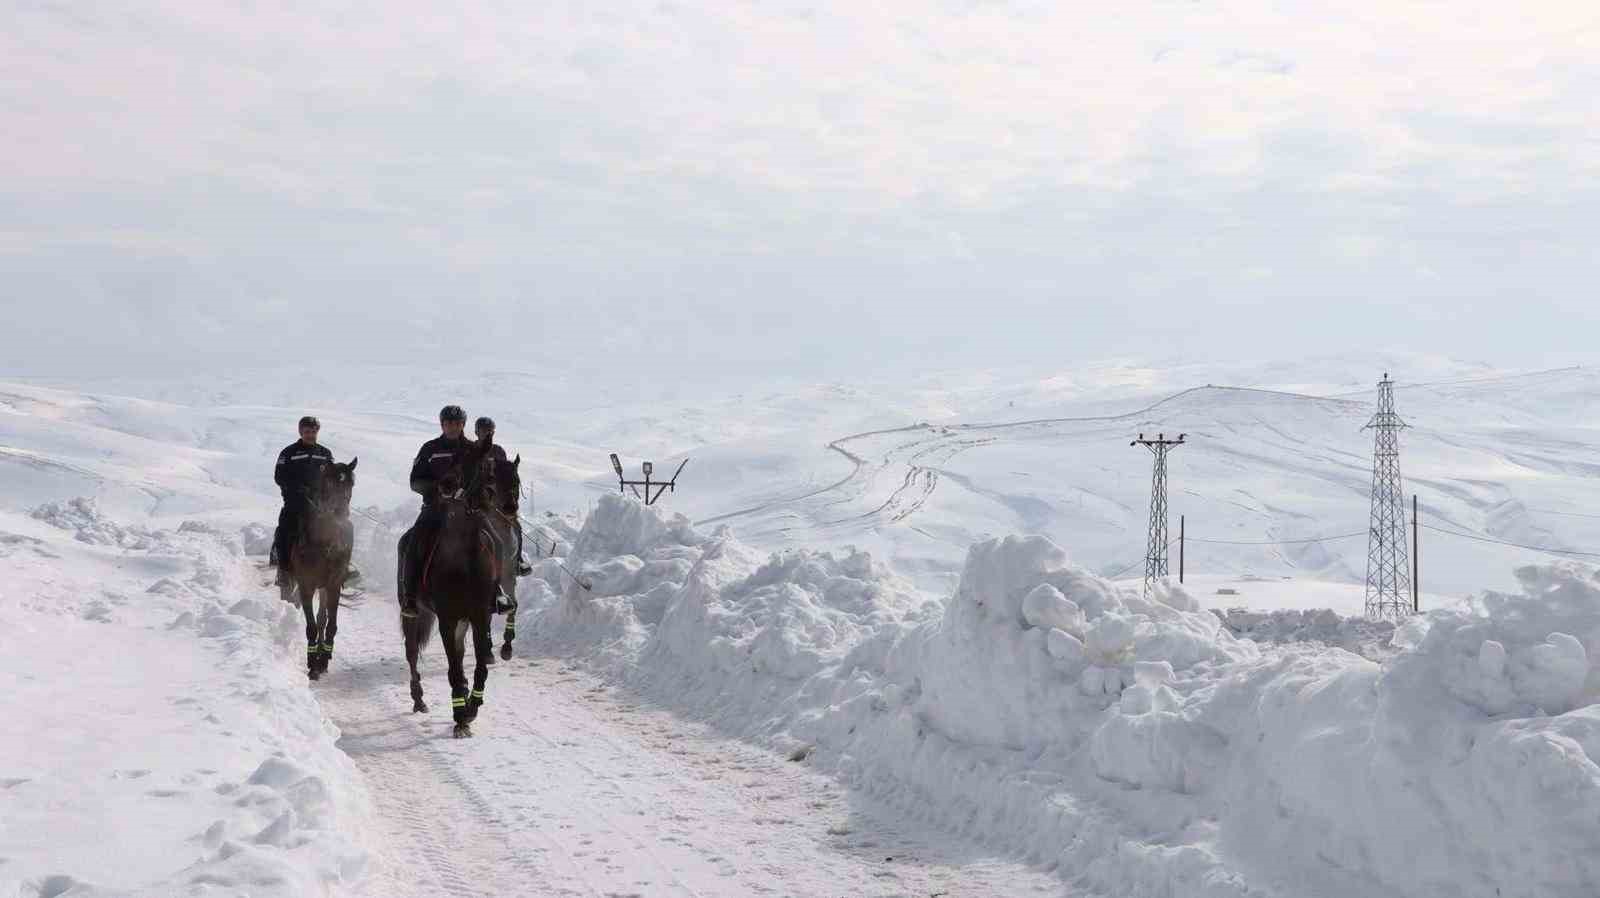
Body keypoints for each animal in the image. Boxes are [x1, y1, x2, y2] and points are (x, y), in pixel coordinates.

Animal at [281, 454, 360, 678]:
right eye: (330, 483)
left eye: (351, 483)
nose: (341, 512)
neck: (323, 543)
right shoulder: (306, 585)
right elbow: (311, 626)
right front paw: (312, 664)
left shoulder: (333, 585)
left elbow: (330, 624)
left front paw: (323, 659)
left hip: (325, 587)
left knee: (323, 618)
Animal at [398, 444, 499, 736]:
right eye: (477, 464)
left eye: (491, 464)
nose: (489, 495)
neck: (466, 558)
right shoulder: (447, 618)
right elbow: (453, 667)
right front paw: (460, 717)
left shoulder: (479, 617)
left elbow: (479, 665)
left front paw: (472, 706)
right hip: (415, 612)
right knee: (411, 652)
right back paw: (419, 699)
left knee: (460, 654)